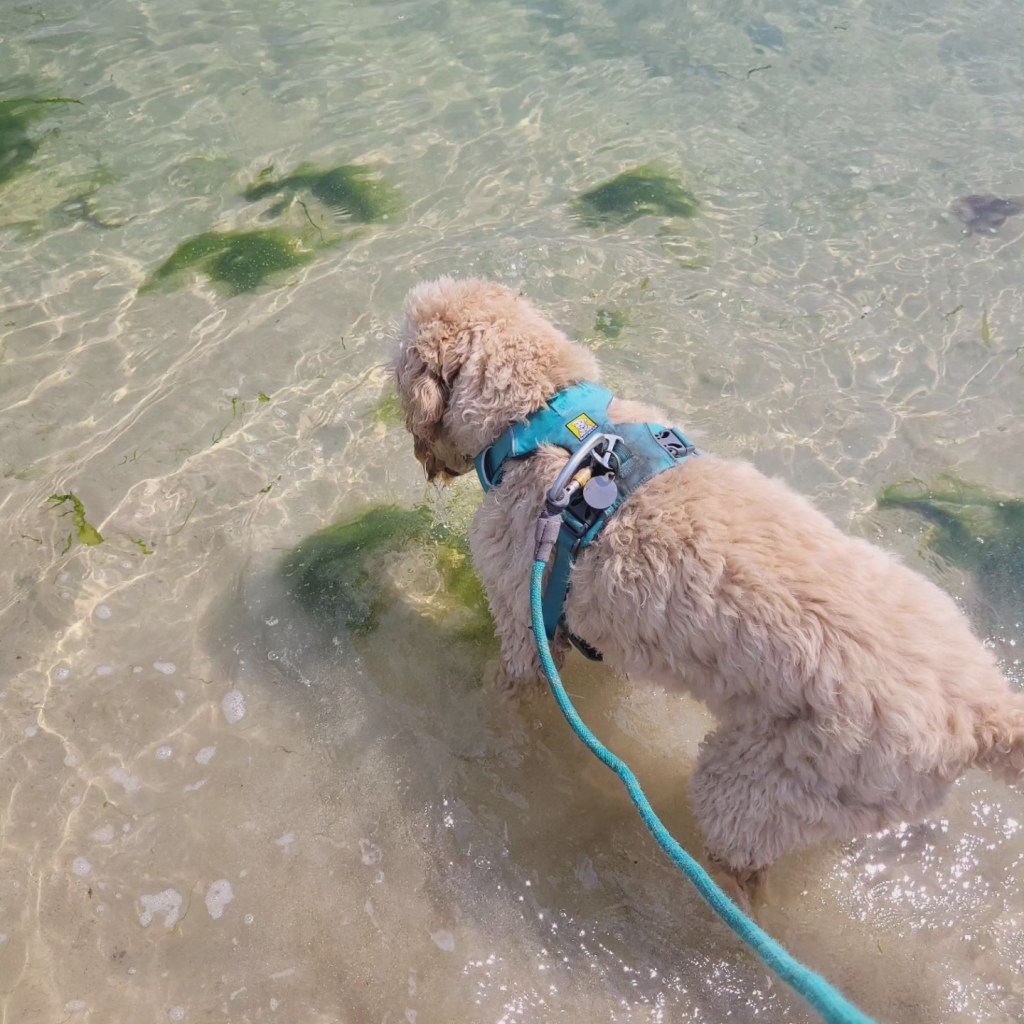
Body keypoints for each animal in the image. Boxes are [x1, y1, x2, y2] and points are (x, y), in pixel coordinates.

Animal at [394, 276, 1024, 903]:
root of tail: (983, 712)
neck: (544, 423)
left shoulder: (522, 614)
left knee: (741, 865)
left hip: (751, 784)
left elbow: (509, 687)